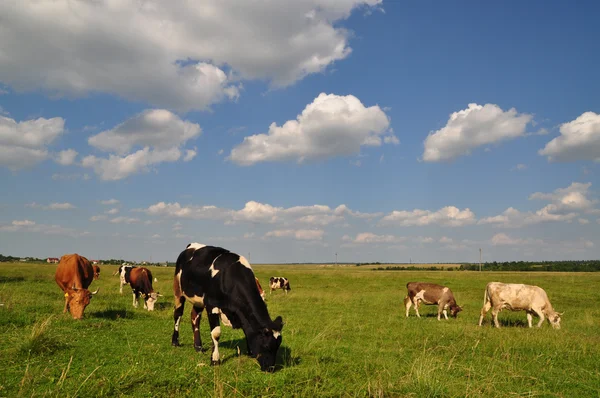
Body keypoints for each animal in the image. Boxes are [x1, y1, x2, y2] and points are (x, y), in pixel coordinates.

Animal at [171, 243, 284, 374]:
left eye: (278, 346)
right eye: (266, 346)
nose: (270, 369)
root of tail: (191, 246)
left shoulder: (241, 312)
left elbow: (247, 329)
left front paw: (250, 352)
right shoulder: (212, 305)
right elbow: (216, 333)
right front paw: (215, 360)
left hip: (198, 300)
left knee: (195, 318)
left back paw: (198, 347)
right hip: (178, 291)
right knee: (178, 315)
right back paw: (175, 342)